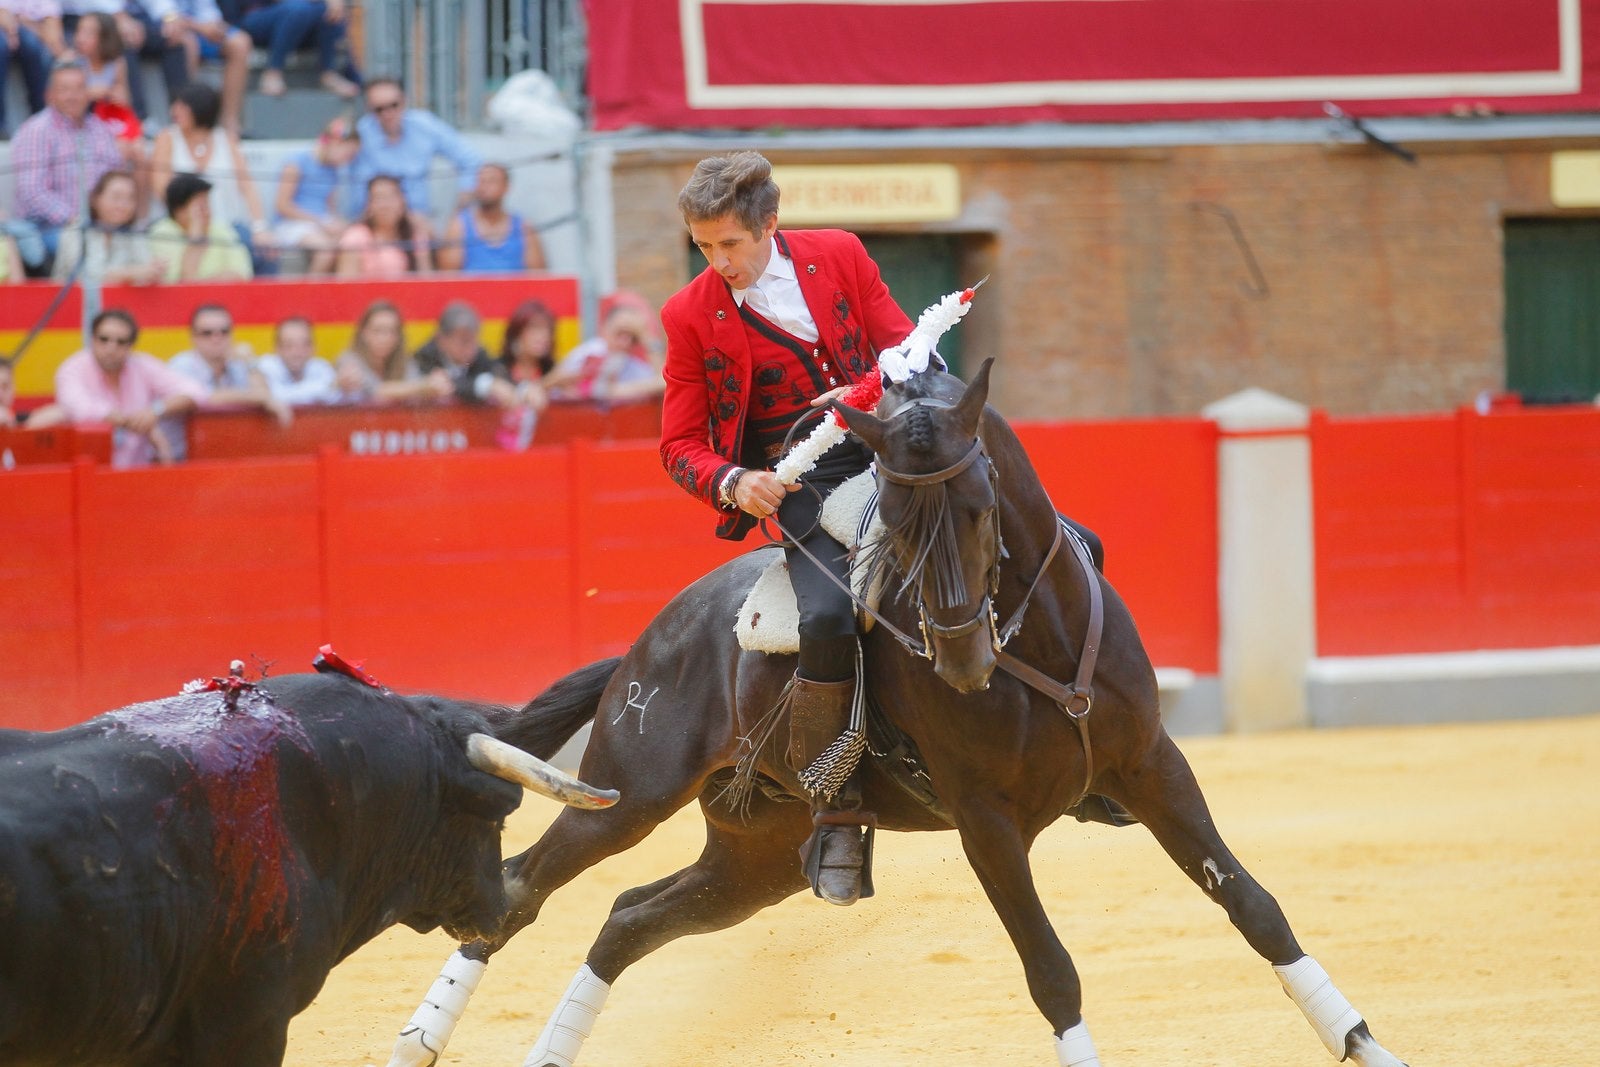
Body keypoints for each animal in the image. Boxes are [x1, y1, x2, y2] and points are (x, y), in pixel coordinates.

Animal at [380, 361, 1408, 1067]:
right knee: (521, 887)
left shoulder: (1153, 765)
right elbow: (1052, 969)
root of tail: (652, 637)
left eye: (982, 500)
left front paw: (1368, 1042)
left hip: (756, 854)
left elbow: (1255, 905)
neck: (1036, 644)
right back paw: (416, 1040)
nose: (957, 657)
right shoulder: (986, 822)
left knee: (629, 917)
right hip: (629, 790)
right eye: (896, 531)